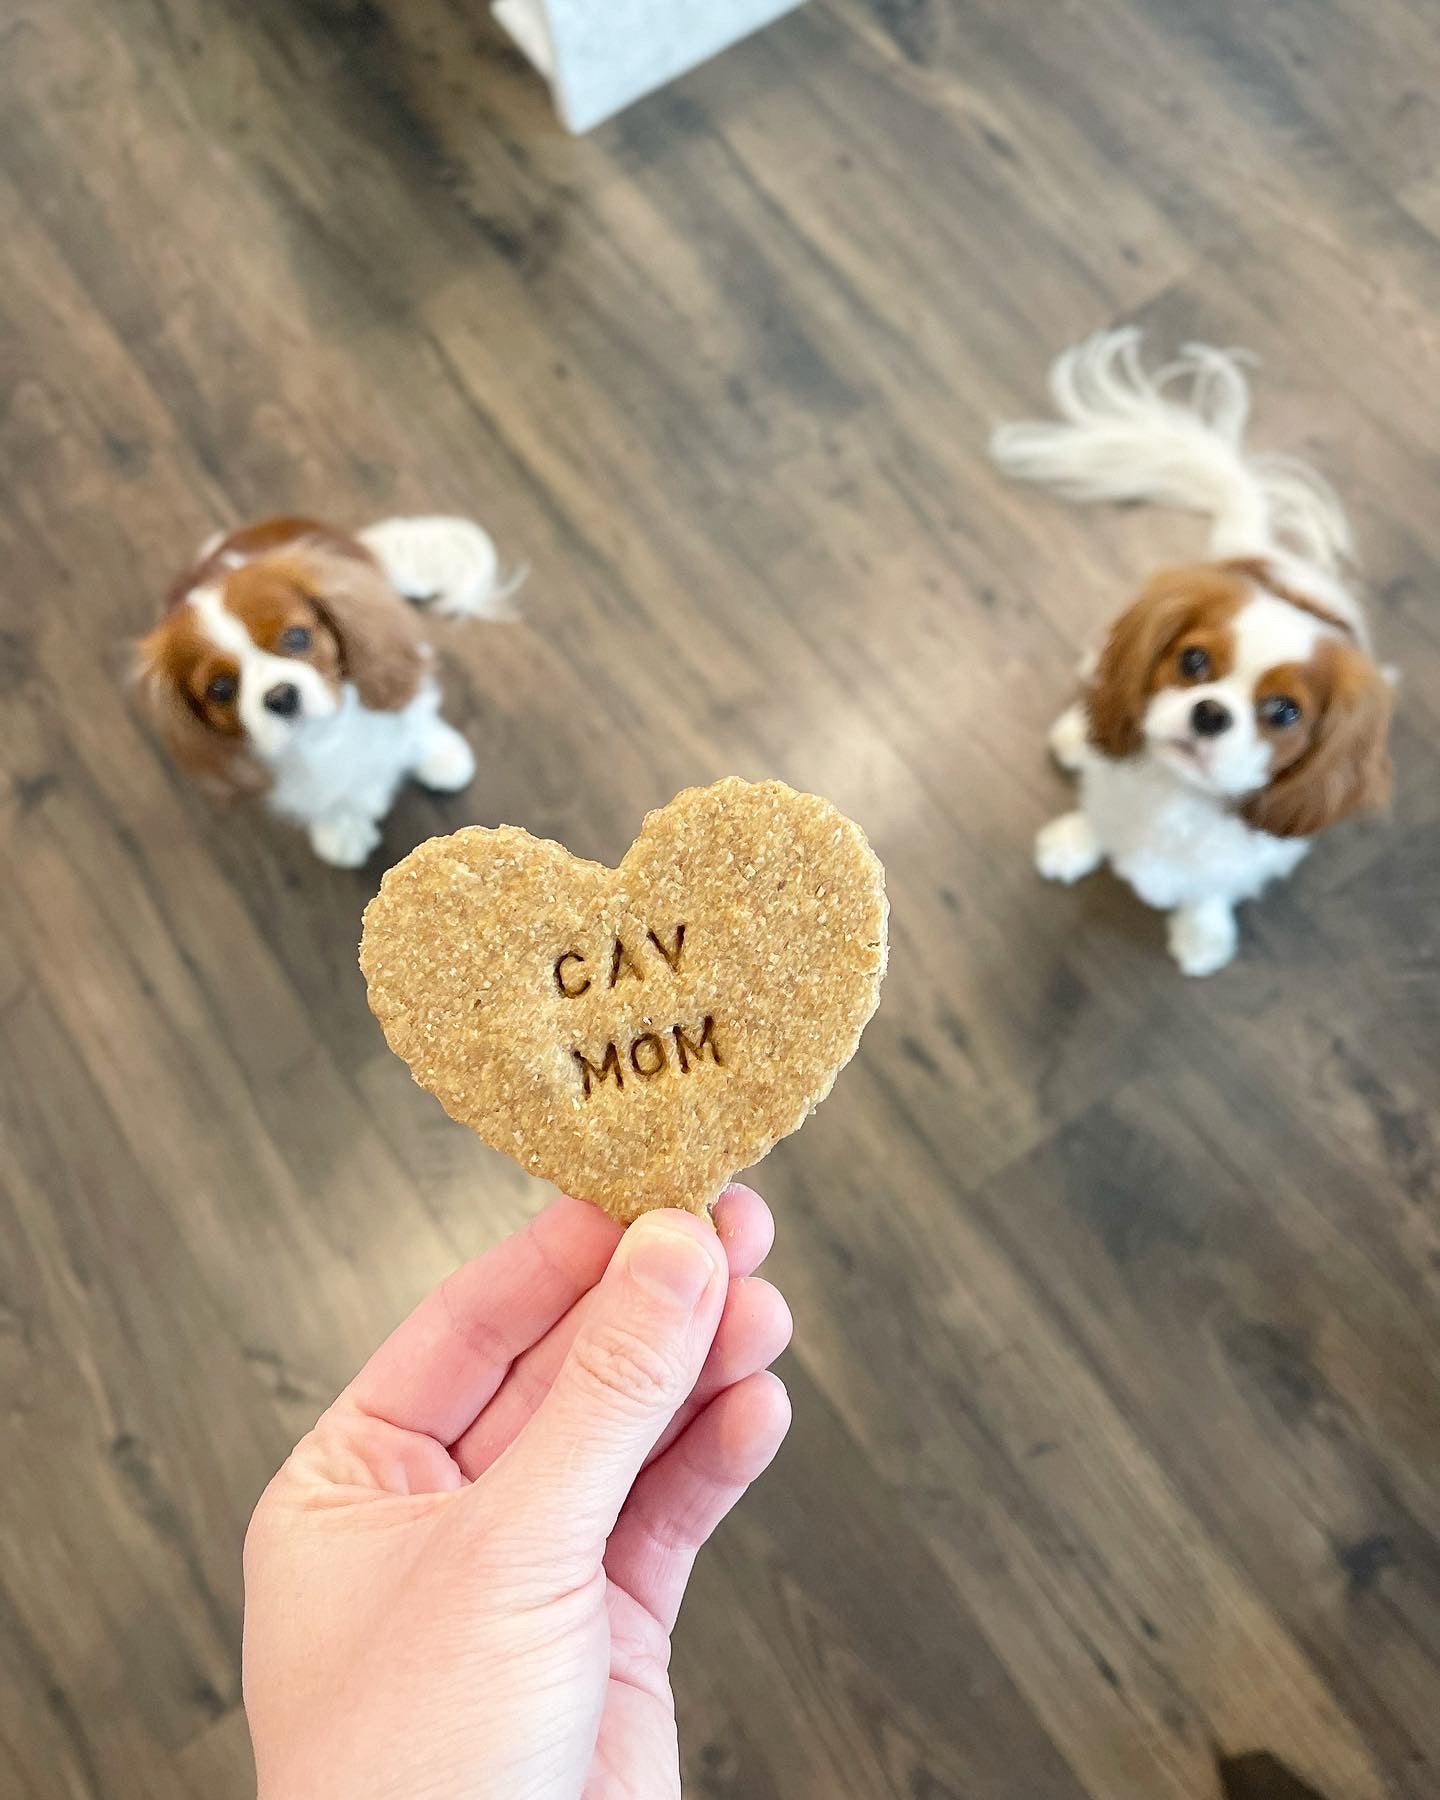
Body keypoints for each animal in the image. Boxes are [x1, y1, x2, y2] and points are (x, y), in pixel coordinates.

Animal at [137, 514, 522, 864]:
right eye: (219, 689)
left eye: (297, 637)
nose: (281, 697)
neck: (326, 734)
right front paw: (341, 828)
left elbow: (414, 719)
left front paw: (438, 753)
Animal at [993, 331, 1389, 979]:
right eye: (1194, 662)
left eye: (1285, 712)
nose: (1210, 713)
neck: (1178, 795)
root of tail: (1257, 549)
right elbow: (1100, 815)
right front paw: (1074, 840)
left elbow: (1209, 891)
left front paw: (1202, 934)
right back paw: (1077, 734)